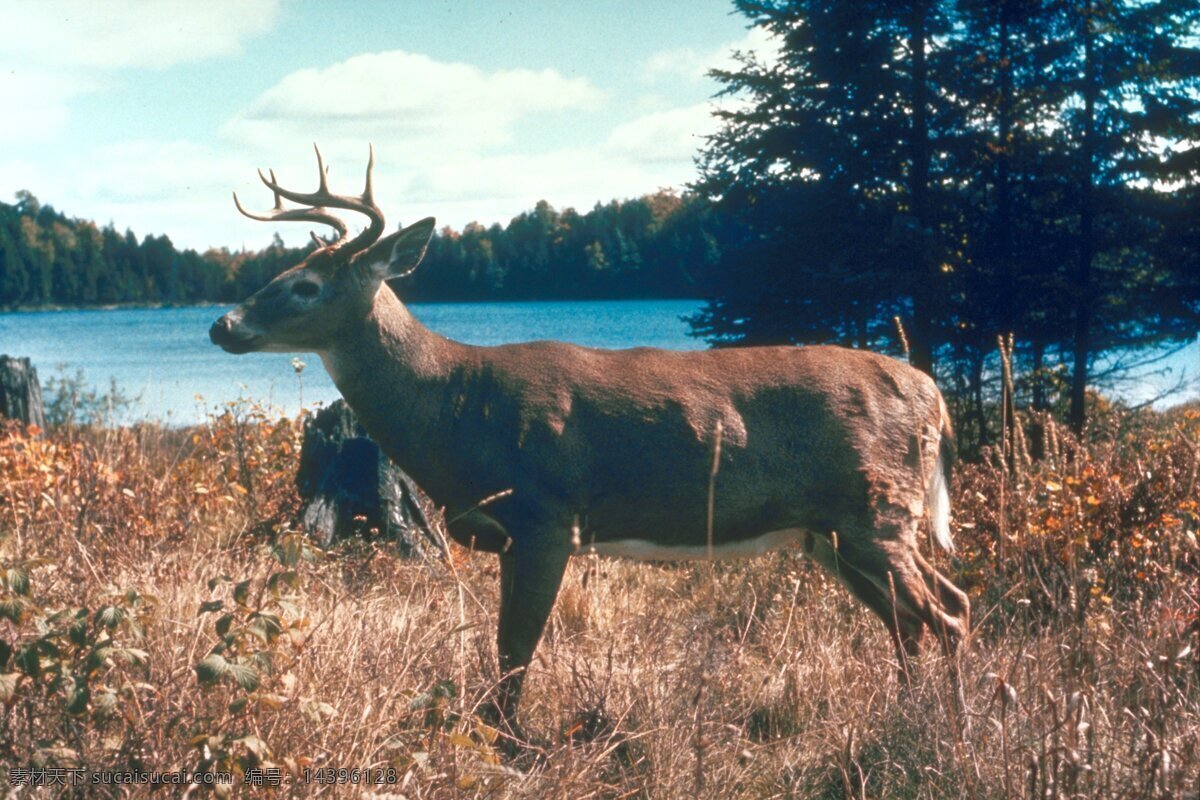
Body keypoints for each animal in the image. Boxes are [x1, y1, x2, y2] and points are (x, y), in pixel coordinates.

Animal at [211, 148, 969, 738]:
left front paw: (508, 748)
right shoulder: (512, 533)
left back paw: (944, 729)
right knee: (916, 619)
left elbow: (516, 650)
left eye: (306, 285)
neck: (456, 404)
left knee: (946, 615)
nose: (222, 325)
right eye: (280, 273)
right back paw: (911, 716)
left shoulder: (549, 515)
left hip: (874, 511)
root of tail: (931, 395)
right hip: (833, 532)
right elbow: (506, 650)